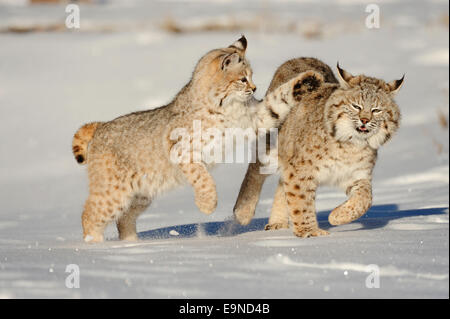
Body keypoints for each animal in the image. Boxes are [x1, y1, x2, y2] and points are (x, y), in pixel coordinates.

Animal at [73, 37, 312, 242]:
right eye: (243, 79)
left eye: (251, 77)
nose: (254, 89)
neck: (224, 105)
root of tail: (102, 126)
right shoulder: (182, 150)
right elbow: (203, 178)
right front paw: (207, 205)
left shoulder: (255, 117)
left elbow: (277, 101)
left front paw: (307, 80)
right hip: (114, 192)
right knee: (89, 214)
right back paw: (95, 246)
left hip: (142, 192)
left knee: (123, 218)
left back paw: (131, 245)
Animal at [234, 57, 402, 238]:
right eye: (356, 106)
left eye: (376, 110)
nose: (364, 120)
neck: (352, 144)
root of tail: (303, 58)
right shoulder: (301, 170)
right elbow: (301, 200)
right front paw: (309, 232)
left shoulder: (356, 174)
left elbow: (366, 198)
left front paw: (337, 216)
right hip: (270, 143)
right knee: (254, 170)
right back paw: (242, 212)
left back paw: (277, 223)